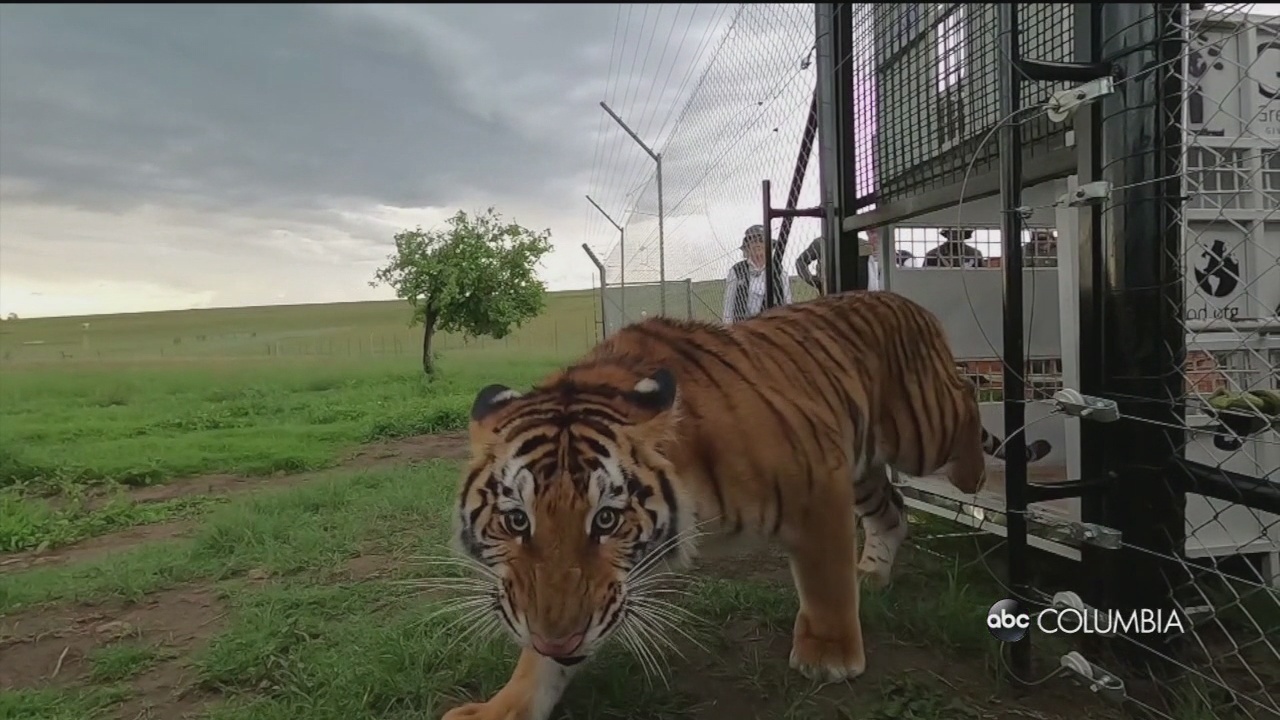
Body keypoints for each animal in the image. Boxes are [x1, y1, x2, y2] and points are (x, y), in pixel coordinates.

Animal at [440, 286, 1049, 717]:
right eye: (516, 521)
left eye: (606, 520)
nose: (557, 636)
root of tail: (903, 298)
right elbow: (544, 655)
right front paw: (503, 706)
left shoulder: (818, 484)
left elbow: (825, 582)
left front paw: (829, 657)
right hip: (862, 467)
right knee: (894, 513)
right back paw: (873, 572)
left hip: (920, 430)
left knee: (965, 399)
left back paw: (973, 475)